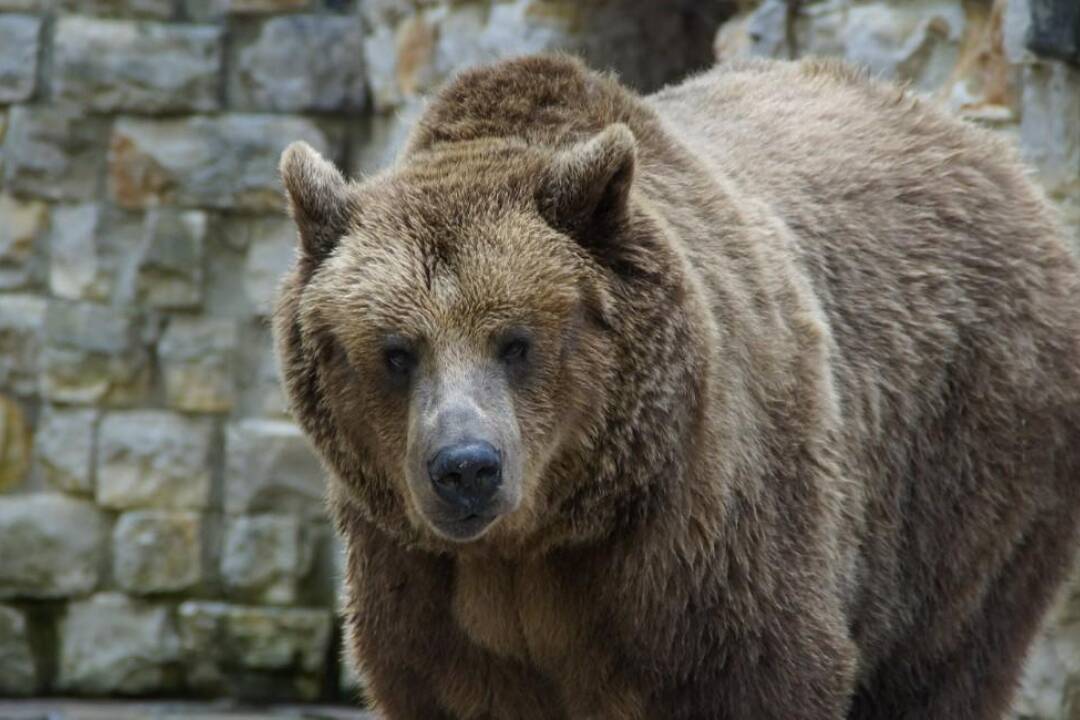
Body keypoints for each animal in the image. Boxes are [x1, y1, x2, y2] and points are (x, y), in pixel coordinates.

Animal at [274, 52, 1080, 720]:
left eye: (516, 342)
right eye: (396, 352)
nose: (466, 468)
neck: (542, 540)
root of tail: (994, 156)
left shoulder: (705, 553)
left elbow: (766, 671)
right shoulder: (425, 590)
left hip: (968, 467)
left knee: (946, 657)